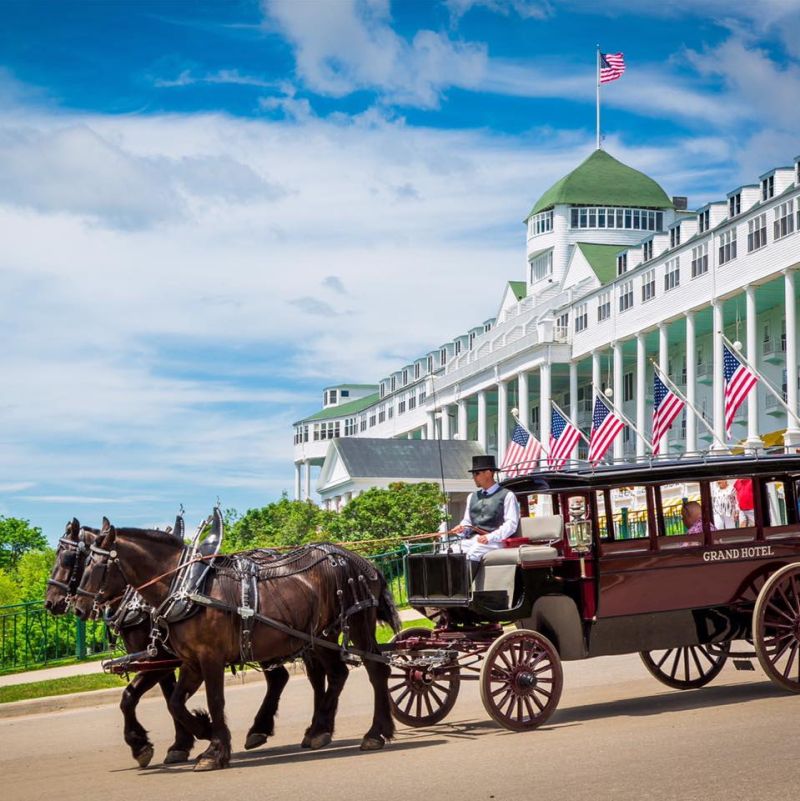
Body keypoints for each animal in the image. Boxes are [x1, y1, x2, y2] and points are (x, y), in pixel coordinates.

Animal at [75, 520, 400, 772]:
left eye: (95, 564)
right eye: (82, 561)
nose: (77, 607)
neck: (186, 586)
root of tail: (365, 562)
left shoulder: (210, 657)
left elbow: (214, 700)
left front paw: (213, 749)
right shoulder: (190, 661)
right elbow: (175, 702)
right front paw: (202, 730)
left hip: (356, 623)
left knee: (375, 670)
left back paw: (374, 732)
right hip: (322, 635)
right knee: (336, 674)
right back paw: (320, 731)